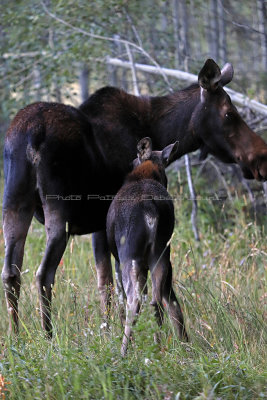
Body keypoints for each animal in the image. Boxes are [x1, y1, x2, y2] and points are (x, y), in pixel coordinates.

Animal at [2, 59, 267, 334]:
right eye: (229, 114)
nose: (262, 157)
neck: (158, 130)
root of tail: (30, 136)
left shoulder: (100, 225)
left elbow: (105, 283)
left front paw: (108, 331)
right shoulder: (106, 222)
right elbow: (117, 286)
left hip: (14, 202)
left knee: (11, 272)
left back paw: (16, 335)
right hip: (58, 211)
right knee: (44, 273)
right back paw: (48, 336)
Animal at [107, 138, 188, 356]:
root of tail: (150, 210)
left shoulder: (118, 260)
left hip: (130, 256)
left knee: (134, 301)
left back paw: (124, 351)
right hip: (161, 254)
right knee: (160, 301)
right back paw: (173, 347)